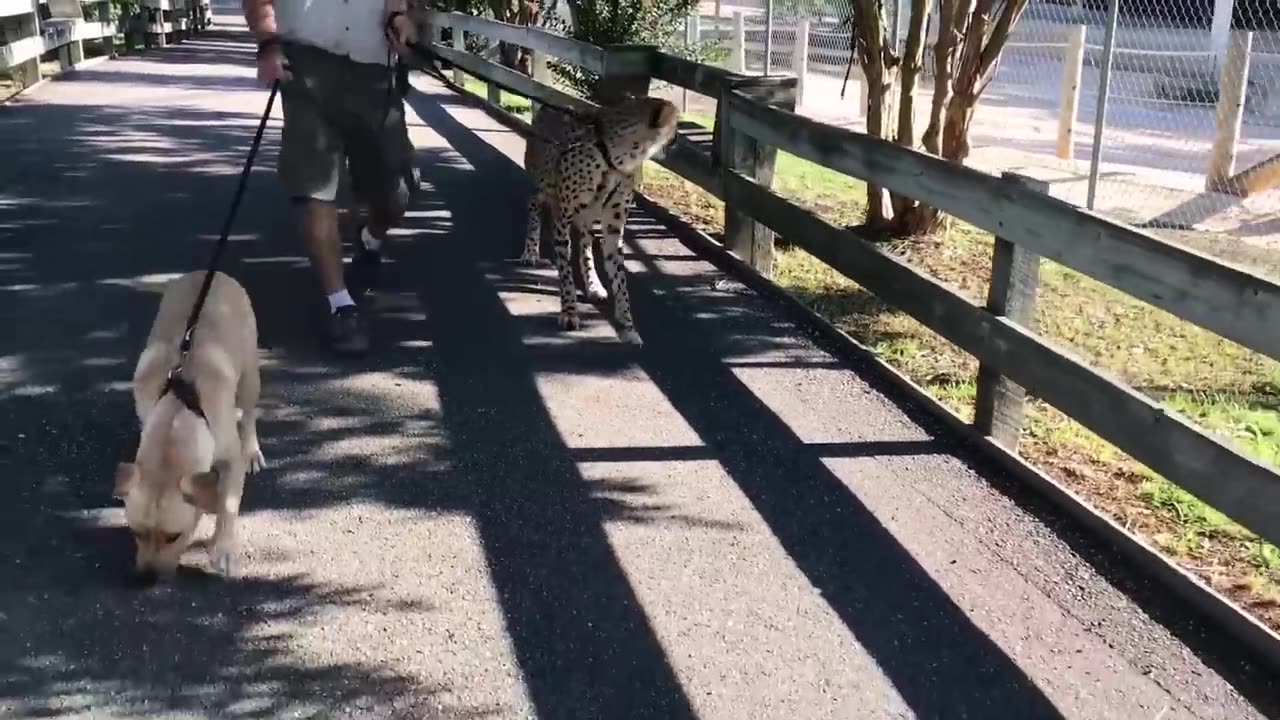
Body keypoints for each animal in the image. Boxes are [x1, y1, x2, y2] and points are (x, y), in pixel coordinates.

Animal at [115, 269, 264, 576]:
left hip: (249, 378)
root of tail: (213, 273)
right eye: (136, 533)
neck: (179, 410)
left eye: (174, 536)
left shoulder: (231, 460)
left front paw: (224, 549)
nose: (146, 578)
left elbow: (228, 504)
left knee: (249, 414)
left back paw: (253, 449)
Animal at [519, 94, 680, 345]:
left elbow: (620, 279)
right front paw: (569, 312)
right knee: (534, 205)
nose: (678, 139)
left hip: (586, 213)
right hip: (542, 185)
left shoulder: (613, 228)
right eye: (675, 125)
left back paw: (593, 284)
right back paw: (531, 251)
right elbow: (565, 273)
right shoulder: (562, 217)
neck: (614, 155)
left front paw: (628, 325)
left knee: (585, 243)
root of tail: (548, 106)